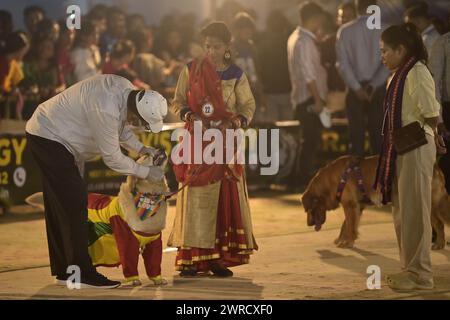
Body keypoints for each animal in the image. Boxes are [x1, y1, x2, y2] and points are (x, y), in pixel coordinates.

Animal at [302, 155, 450, 250]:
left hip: (429, 204)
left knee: (439, 223)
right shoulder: (357, 206)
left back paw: (439, 244)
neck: (333, 180)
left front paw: (348, 242)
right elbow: (346, 225)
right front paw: (341, 239)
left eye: (308, 210)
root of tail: (435, 165)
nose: (308, 224)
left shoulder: (350, 205)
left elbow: (349, 226)